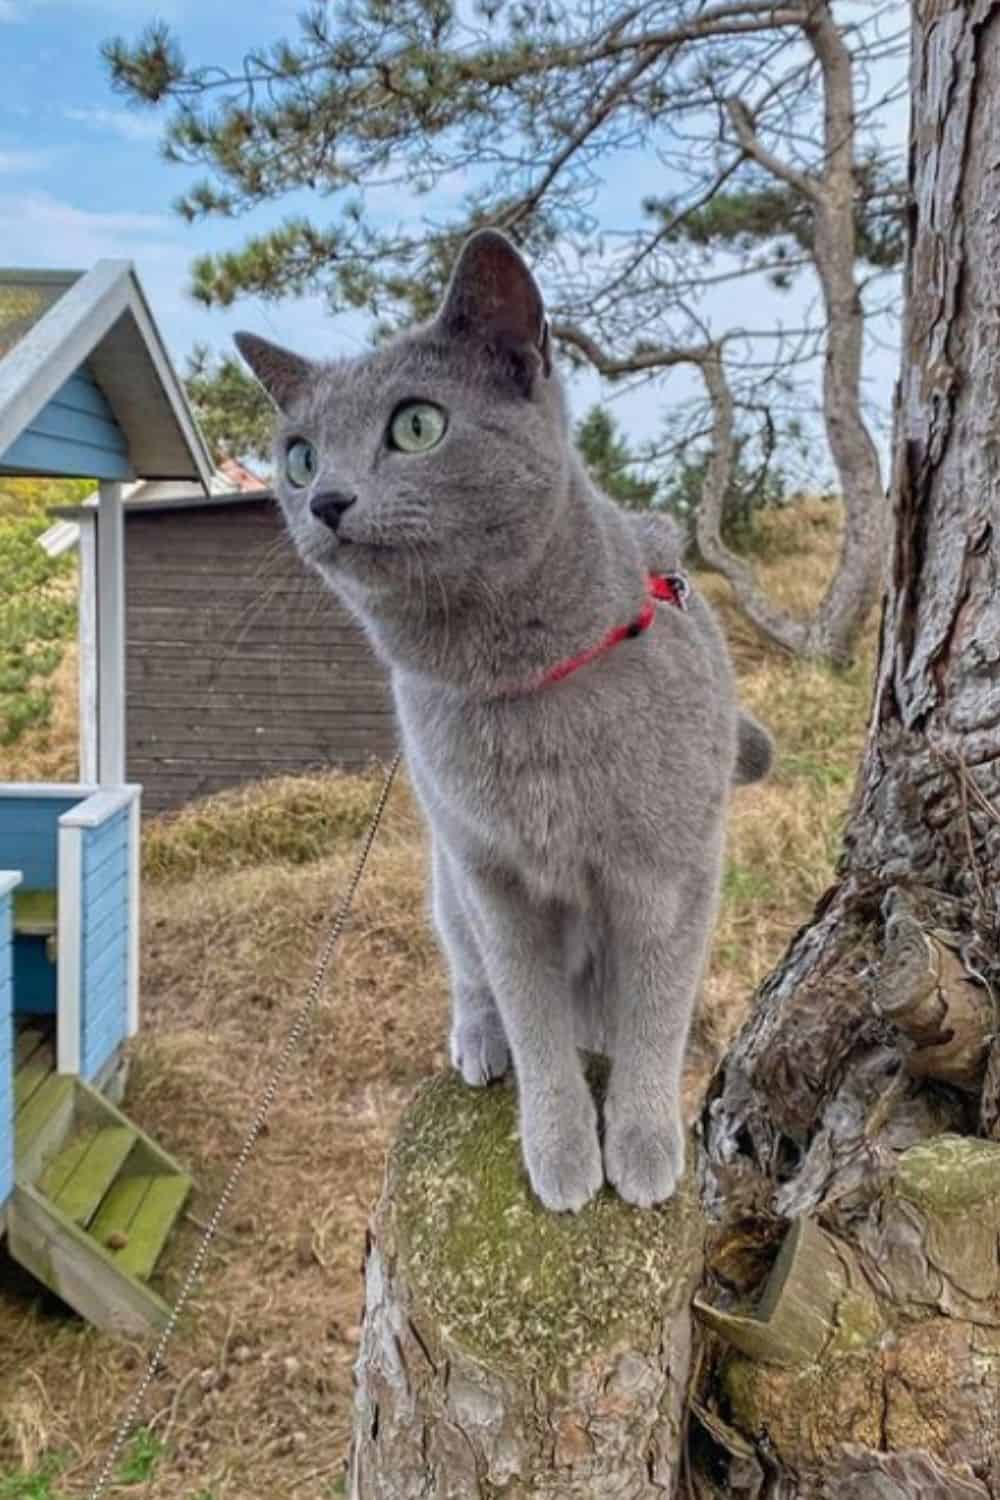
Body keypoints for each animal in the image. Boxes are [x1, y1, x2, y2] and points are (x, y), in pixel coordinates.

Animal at [236, 228, 773, 1212]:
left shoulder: (673, 876)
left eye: (416, 425)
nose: (325, 498)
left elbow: (655, 1016)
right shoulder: (493, 875)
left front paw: (640, 1145)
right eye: (299, 456)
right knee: (469, 971)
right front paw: (559, 1150)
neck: (522, 684)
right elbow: (532, 1017)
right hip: (446, 878)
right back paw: (478, 1042)